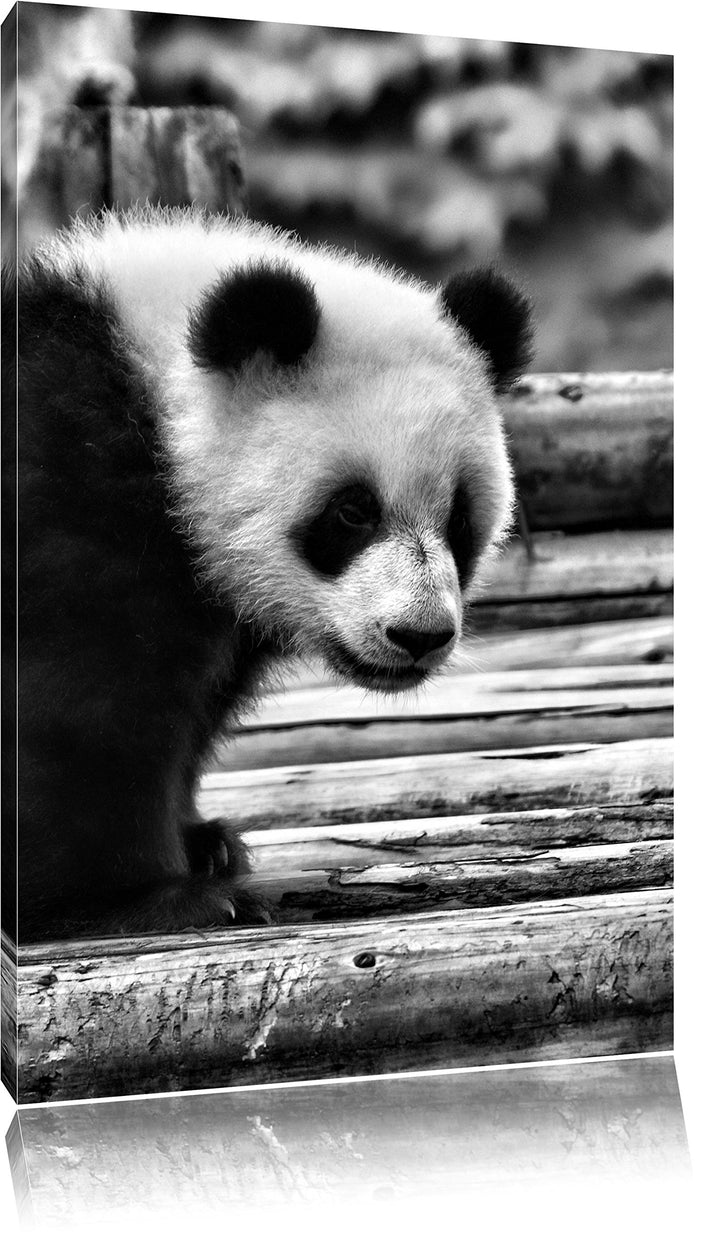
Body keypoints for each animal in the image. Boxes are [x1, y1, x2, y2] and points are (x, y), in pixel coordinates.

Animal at [6, 207, 532, 942]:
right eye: (352, 512)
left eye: (460, 518)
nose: (419, 635)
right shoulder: (70, 503)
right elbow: (79, 712)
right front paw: (145, 898)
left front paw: (205, 843)